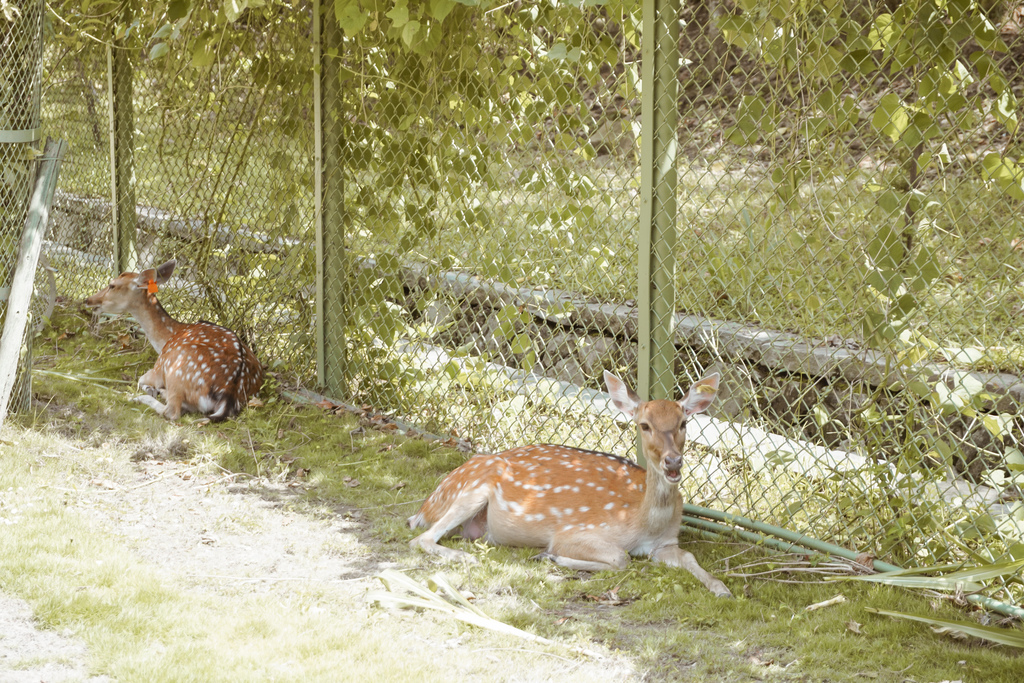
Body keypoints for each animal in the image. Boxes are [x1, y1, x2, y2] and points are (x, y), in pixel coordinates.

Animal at [84, 260, 264, 421]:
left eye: (112, 285)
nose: (88, 300)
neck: (167, 338)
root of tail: (229, 395)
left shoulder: (158, 367)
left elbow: (141, 379)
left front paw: (150, 389)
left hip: (177, 371)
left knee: (172, 412)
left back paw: (142, 397)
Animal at [409, 368, 737, 598]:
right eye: (644, 425)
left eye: (684, 423)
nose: (673, 462)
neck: (643, 522)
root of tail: (425, 507)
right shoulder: (574, 531)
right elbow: (620, 557)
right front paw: (550, 556)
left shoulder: (665, 544)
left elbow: (690, 557)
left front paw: (722, 588)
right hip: (473, 489)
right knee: (420, 538)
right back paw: (466, 558)